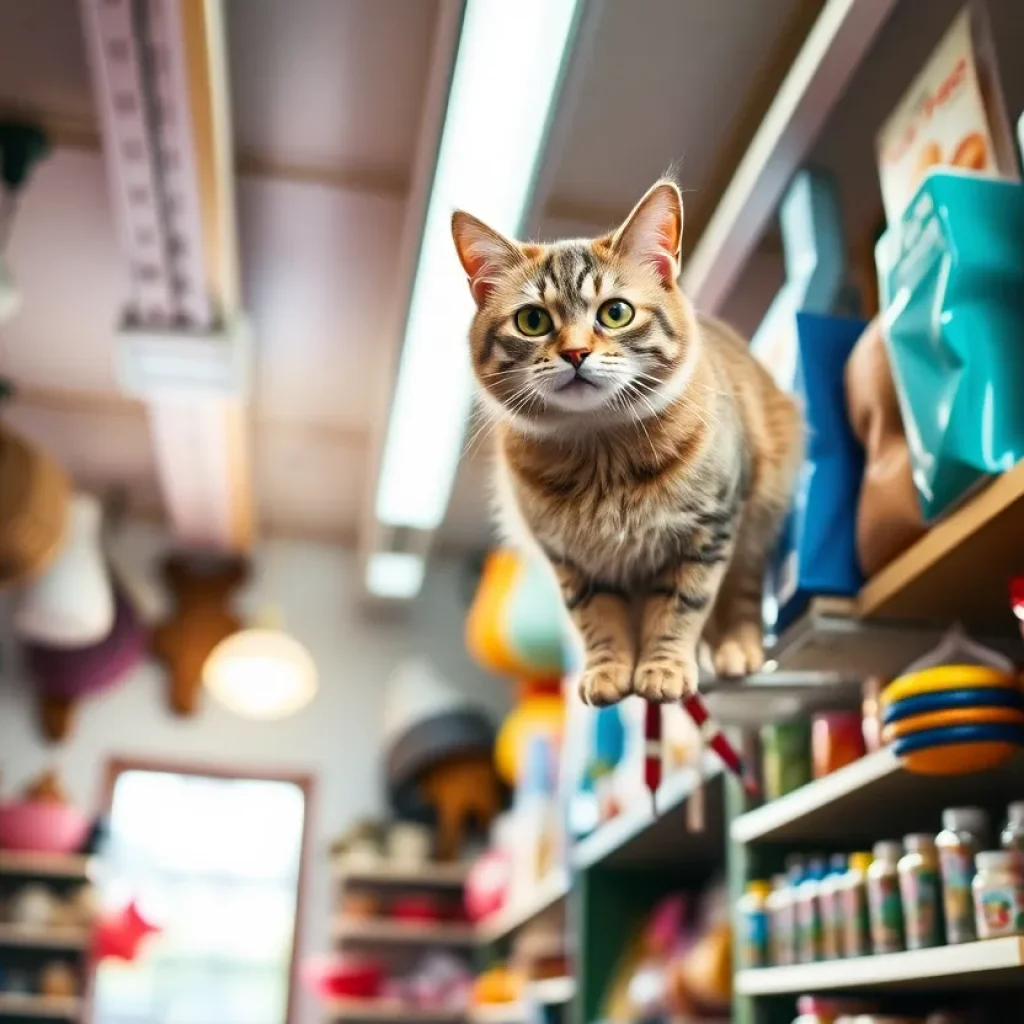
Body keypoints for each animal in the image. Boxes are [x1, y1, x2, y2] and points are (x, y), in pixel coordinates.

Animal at [452, 178, 802, 704]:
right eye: (533, 321)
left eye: (615, 313)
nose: (576, 353)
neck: (603, 457)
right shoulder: (574, 562)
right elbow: (598, 619)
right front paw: (610, 669)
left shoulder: (706, 532)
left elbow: (681, 606)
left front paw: (664, 666)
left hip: (755, 519)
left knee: (740, 589)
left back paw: (736, 650)